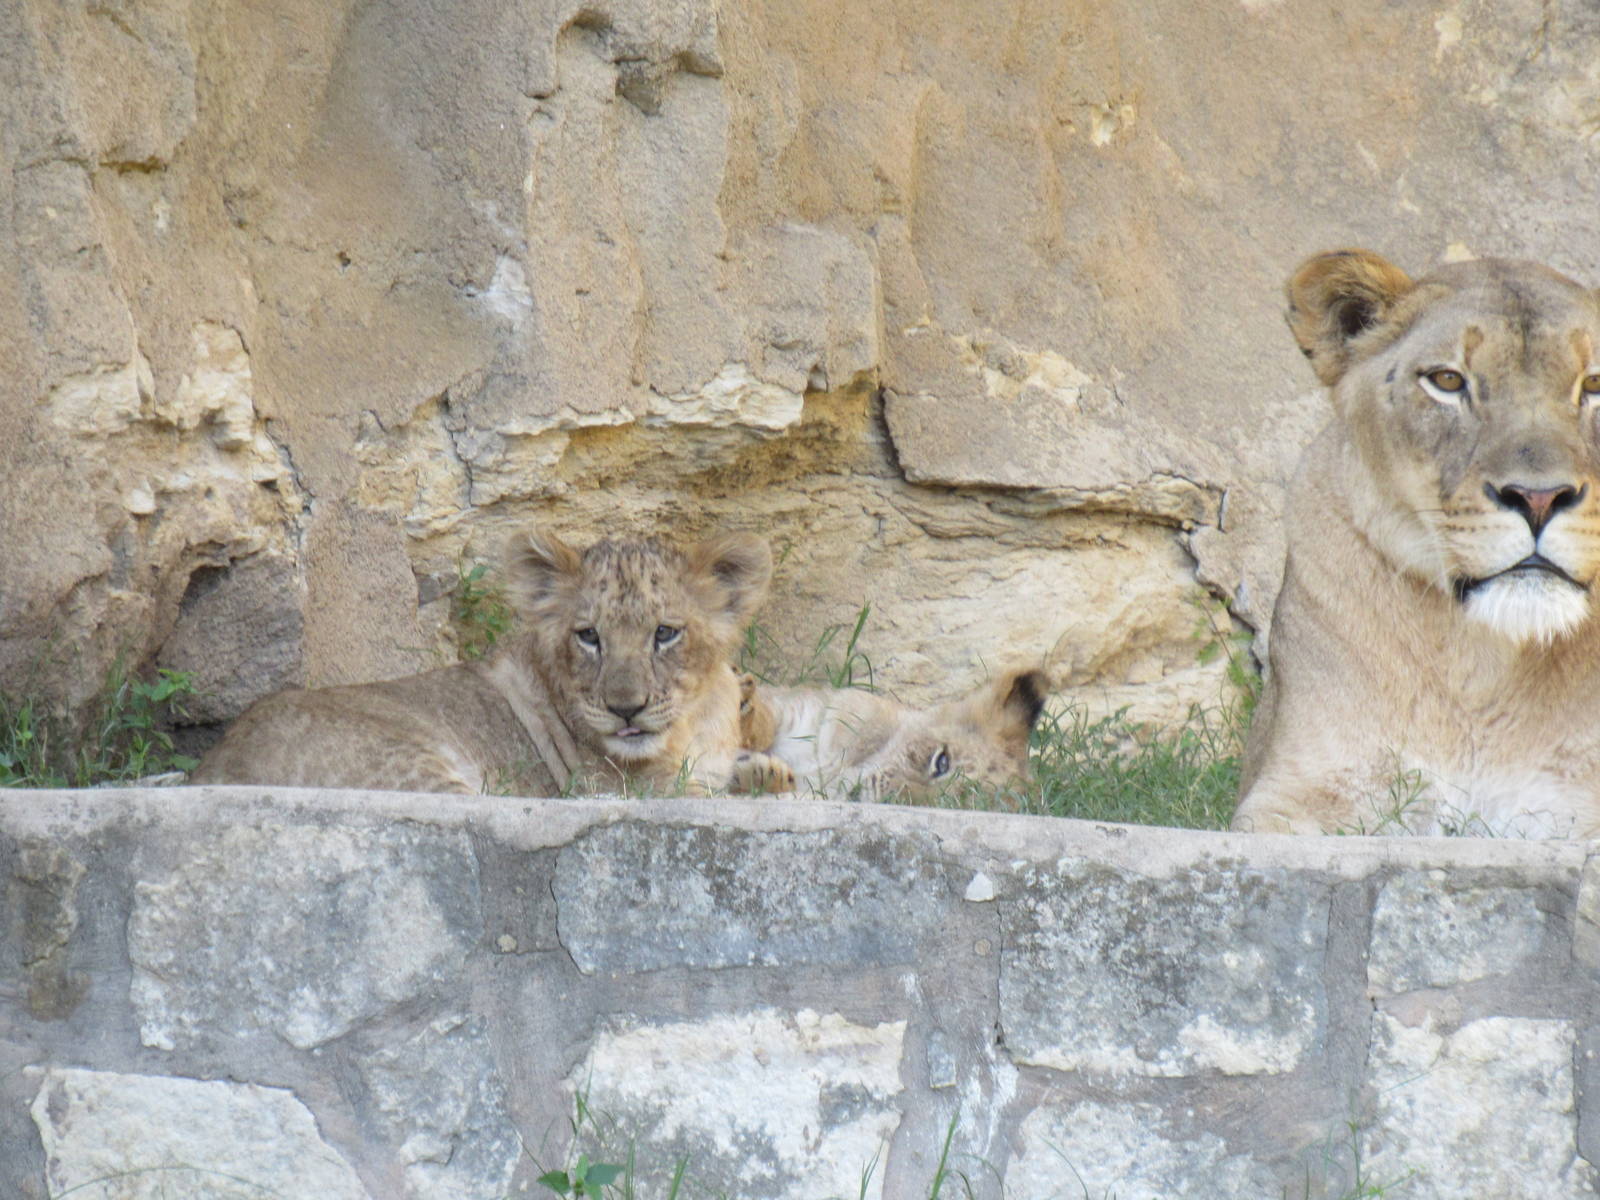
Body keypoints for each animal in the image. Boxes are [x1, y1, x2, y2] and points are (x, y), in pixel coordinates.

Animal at [190, 528, 788, 796]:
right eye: (589, 636)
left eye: (665, 633)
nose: (626, 709)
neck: (693, 724)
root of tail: (212, 766)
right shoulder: (608, 790)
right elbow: (690, 790)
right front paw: (757, 777)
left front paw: (763, 768)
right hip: (417, 765)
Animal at [734, 667, 1049, 803]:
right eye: (942, 762)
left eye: (948, 806)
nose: (893, 800)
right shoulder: (802, 710)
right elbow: (762, 719)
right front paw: (742, 702)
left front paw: (759, 774)